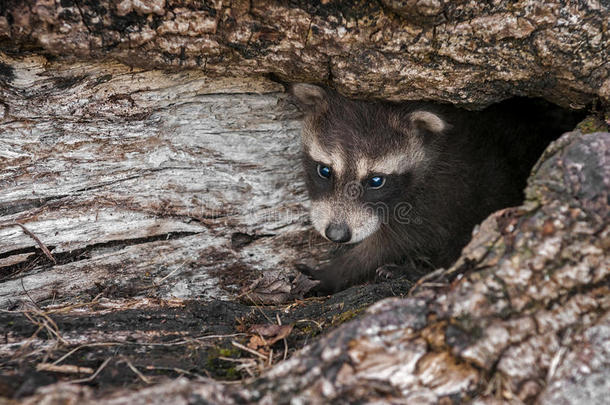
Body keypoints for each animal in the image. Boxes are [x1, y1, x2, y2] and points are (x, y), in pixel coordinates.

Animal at [290, 83, 584, 292]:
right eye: (324, 171)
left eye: (375, 181)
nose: (337, 234)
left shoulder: (443, 192)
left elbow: (389, 244)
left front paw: (334, 272)